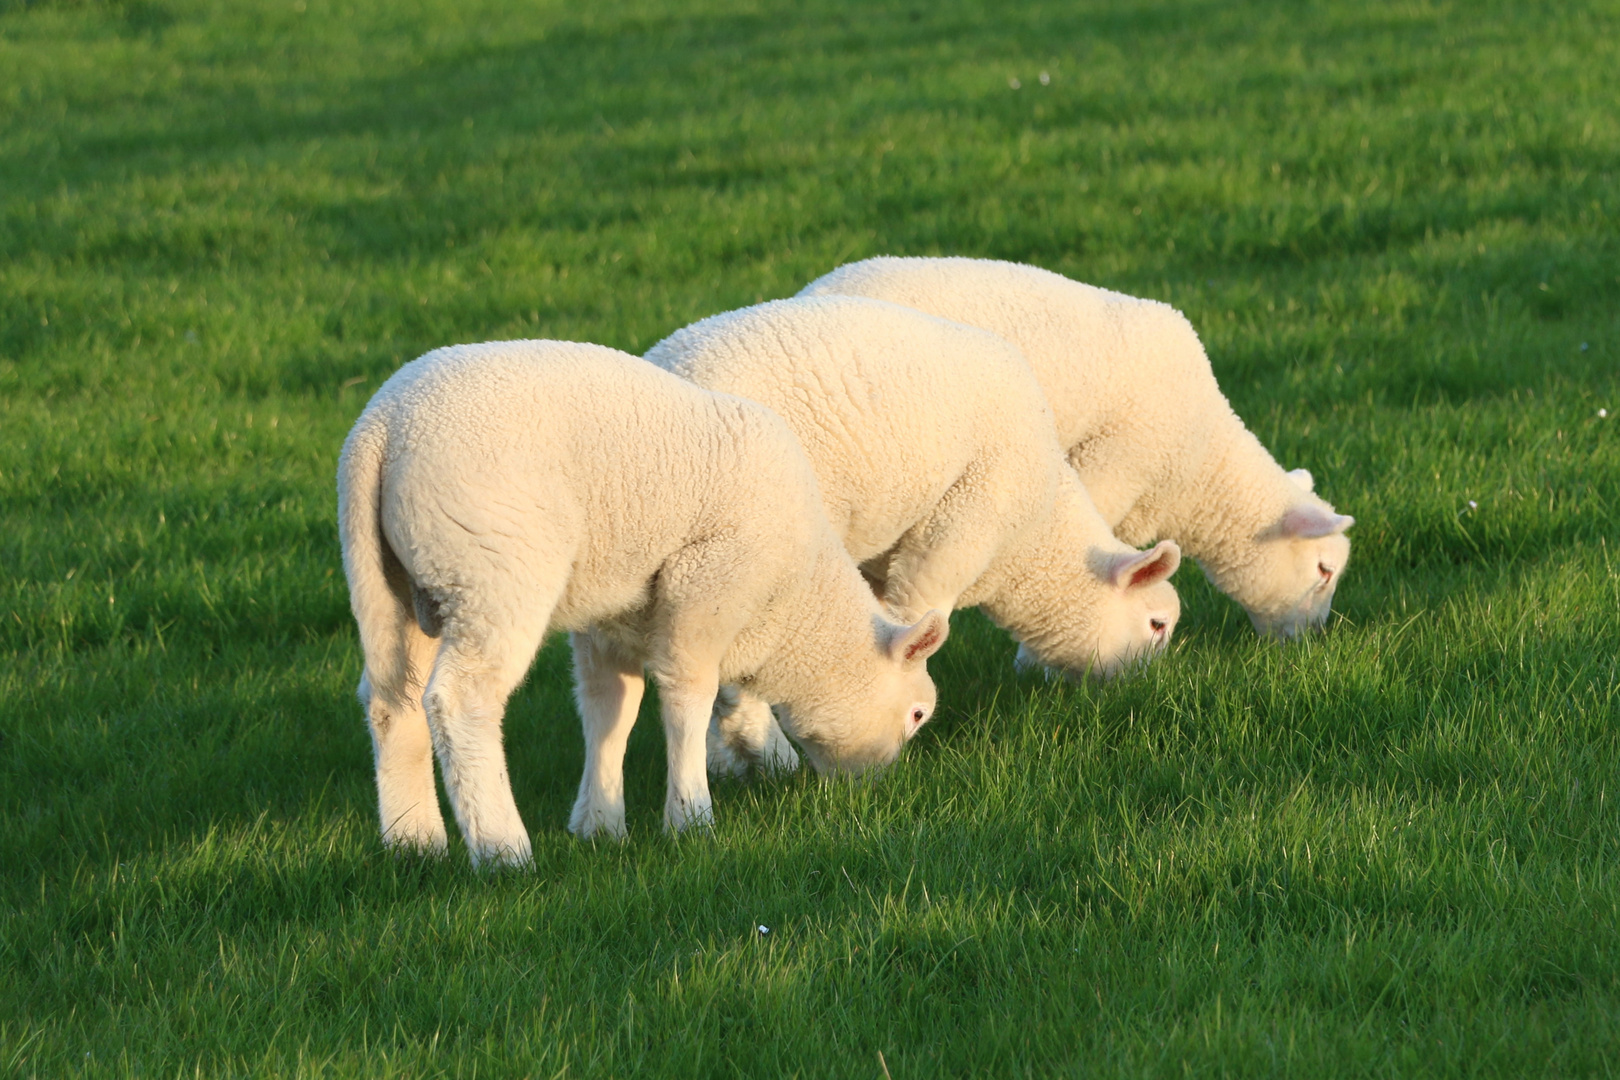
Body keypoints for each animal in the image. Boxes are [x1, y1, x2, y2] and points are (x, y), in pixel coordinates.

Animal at [340, 341, 946, 867]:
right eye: (917, 715)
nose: (875, 789)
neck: (796, 599)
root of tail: (382, 426)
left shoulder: (612, 617)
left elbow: (611, 708)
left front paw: (600, 824)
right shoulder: (707, 586)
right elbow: (688, 697)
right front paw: (690, 820)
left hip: (401, 585)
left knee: (392, 700)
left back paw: (414, 843)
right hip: (493, 572)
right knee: (461, 701)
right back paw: (502, 850)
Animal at [641, 291, 1179, 773]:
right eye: (1157, 625)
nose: (1143, 694)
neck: (1033, 535)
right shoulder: (957, 532)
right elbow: (918, 617)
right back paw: (774, 757)